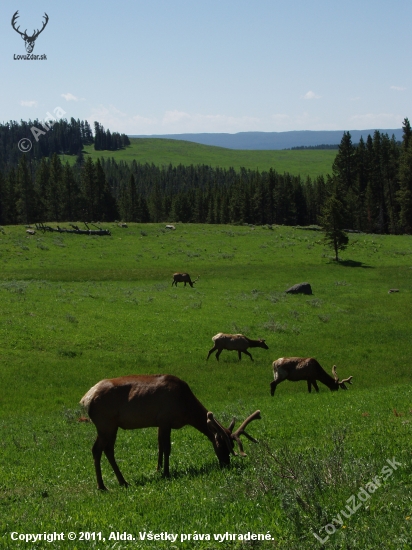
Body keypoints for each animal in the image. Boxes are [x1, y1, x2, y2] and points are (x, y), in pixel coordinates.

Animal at [80, 376, 260, 492]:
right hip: (105, 424)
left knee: (108, 449)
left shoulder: (161, 422)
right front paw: (167, 473)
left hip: (112, 426)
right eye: (222, 445)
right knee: (97, 449)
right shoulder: (166, 419)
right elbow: (167, 448)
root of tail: (85, 399)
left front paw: (158, 469)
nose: (226, 463)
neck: (186, 408)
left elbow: (160, 446)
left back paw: (122, 481)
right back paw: (102, 486)